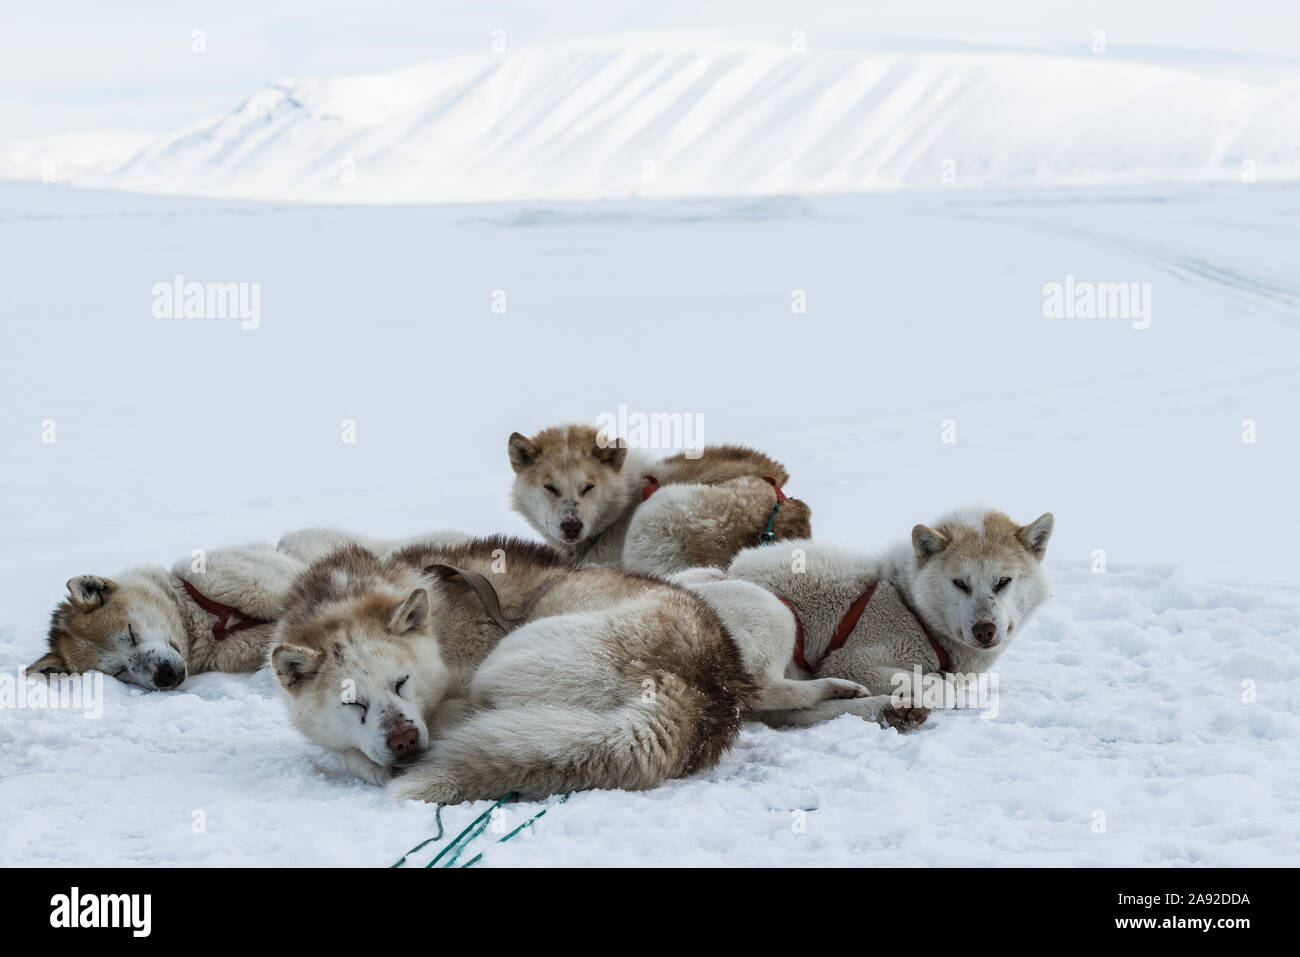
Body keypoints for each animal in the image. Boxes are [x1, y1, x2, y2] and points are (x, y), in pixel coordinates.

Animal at [269, 538, 909, 800]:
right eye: (352, 703)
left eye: (401, 684)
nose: (403, 739)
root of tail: (694, 683)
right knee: (776, 696)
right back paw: (846, 692)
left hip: (513, 659)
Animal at [712, 509, 1055, 722]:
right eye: (960, 583)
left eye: (1003, 581)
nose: (985, 630)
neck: (910, 603)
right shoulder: (853, 662)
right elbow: (944, 686)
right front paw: (931, 686)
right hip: (776, 613)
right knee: (764, 692)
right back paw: (847, 691)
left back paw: (882, 706)